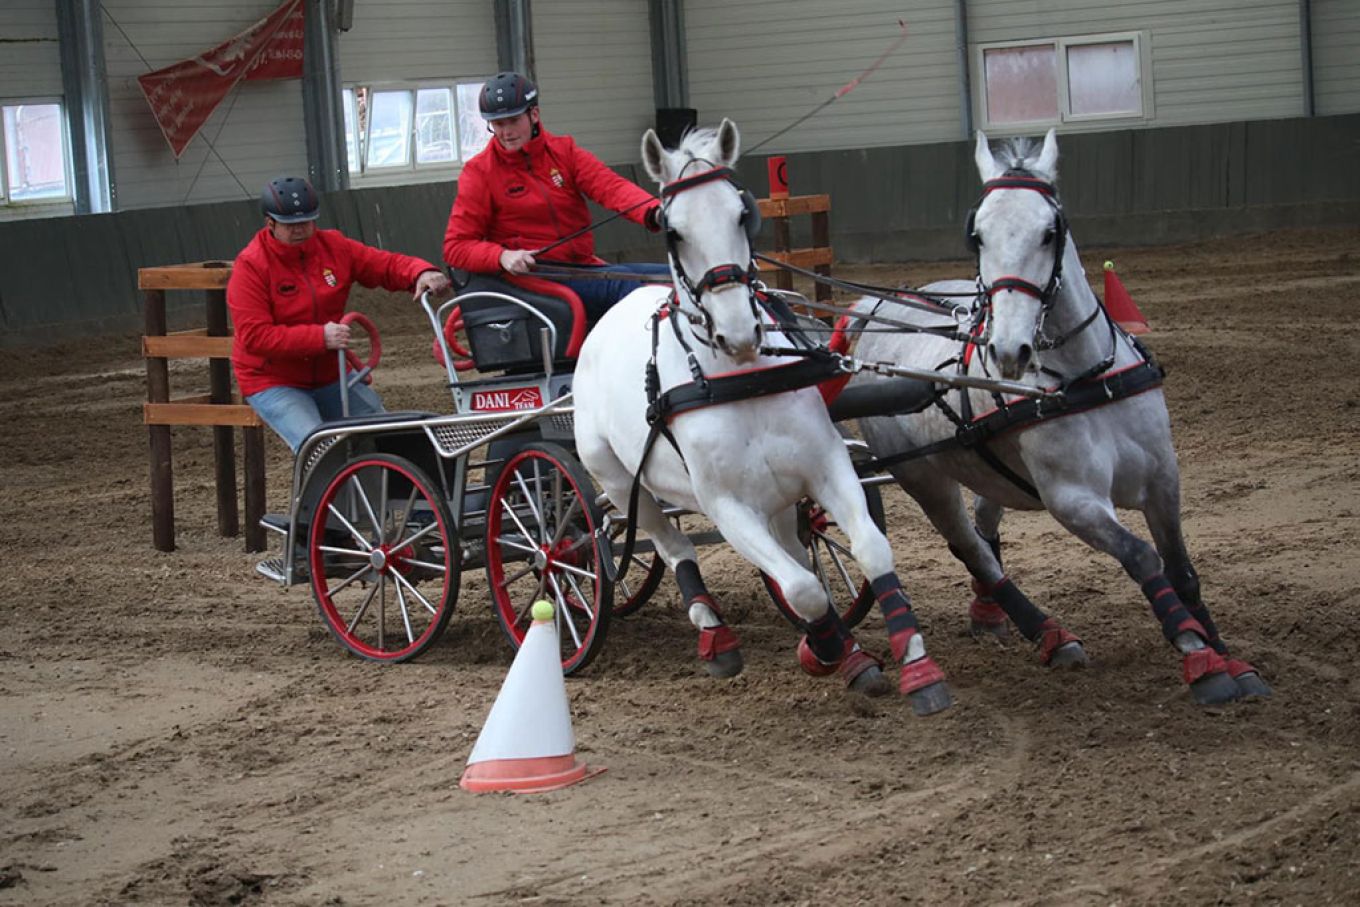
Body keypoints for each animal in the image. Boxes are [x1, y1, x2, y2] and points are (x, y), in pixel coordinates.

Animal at [579, 122, 952, 717]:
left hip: (778, 497)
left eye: (741, 214)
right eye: (673, 231)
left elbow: (867, 552)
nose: (738, 332)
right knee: (674, 546)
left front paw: (913, 665)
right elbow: (804, 588)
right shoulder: (729, 507)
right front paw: (822, 650)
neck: (739, 379)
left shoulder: (826, 469)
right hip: (617, 481)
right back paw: (716, 636)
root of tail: (612, 312)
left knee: (795, 551)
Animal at [848, 129, 1272, 707]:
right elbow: (1142, 558)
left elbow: (1182, 570)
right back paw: (1045, 632)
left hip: (986, 470)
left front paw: (1229, 656)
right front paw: (1199, 658)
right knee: (970, 548)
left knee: (984, 531)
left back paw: (994, 616)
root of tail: (872, 311)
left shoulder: (1164, 479)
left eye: (1050, 231)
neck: (1086, 377)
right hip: (920, 476)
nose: (1009, 350)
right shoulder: (1073, 500)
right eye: (977, 236)